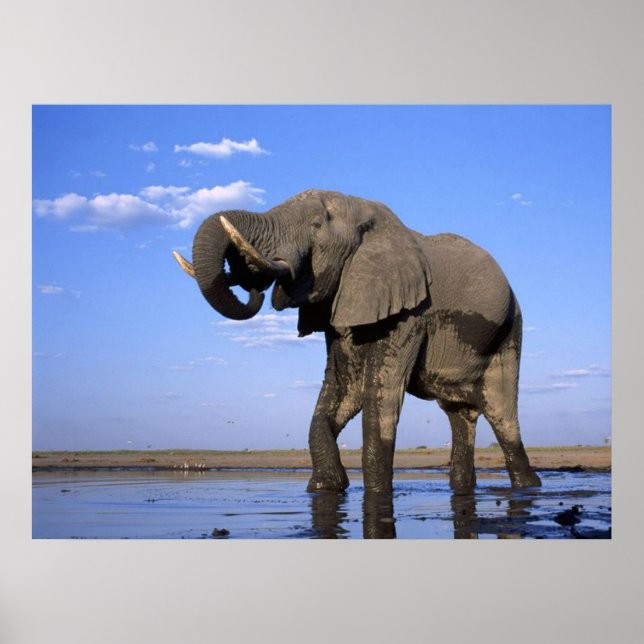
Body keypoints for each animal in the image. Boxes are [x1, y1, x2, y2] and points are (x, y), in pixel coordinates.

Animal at [173, 189, 541, 493]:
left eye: (316, 224)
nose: (253, 280)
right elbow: (342, 392)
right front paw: (327, 487)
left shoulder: (410, 312)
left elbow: (380, 398)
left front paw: (375, 493)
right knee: (460, 416)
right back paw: (463, 487)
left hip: (510, 331)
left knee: (502, 413)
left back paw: (528, 486)